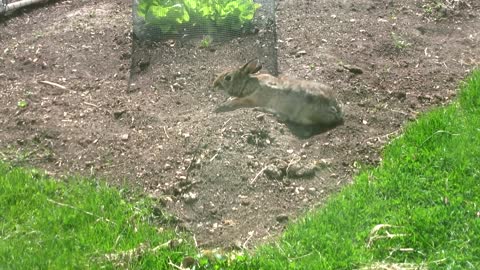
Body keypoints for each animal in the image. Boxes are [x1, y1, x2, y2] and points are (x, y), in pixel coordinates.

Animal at [212, 59, 344, 126]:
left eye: (228, 78)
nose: (214, 84)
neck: (247, 83)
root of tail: (334, 108)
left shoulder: (253, 98)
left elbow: (239, 101)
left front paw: (225, 105)